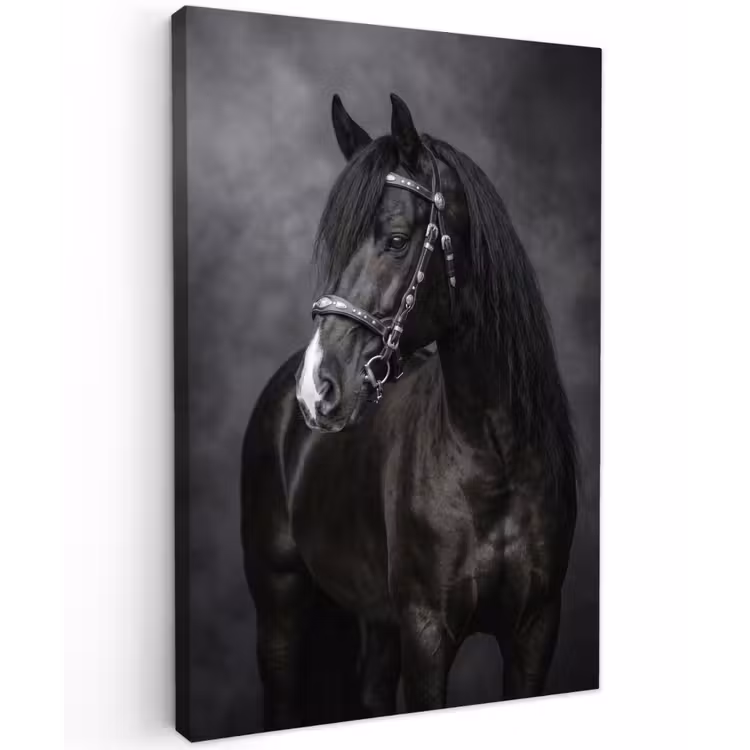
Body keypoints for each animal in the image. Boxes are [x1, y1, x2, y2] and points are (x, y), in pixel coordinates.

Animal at [241, 93, 578, 731]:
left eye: (397, 240)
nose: (316, 389)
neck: (494, 456)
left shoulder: (535, 631)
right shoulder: (427, 632)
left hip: (375, 618)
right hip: (280, 607)